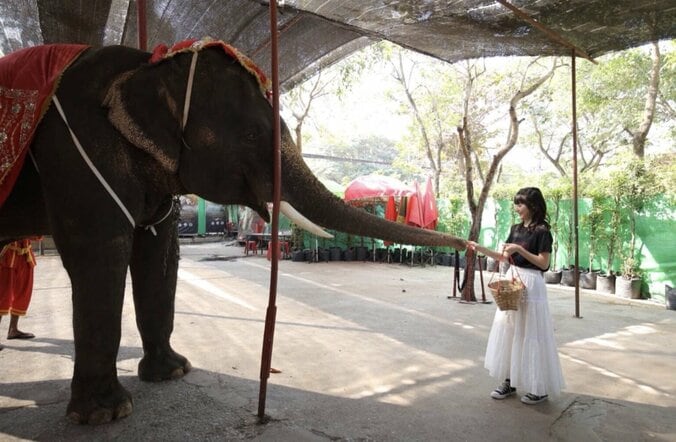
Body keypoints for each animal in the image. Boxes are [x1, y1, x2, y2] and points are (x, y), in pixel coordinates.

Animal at [0, 39, 464, 426]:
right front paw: (107, 415)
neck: (147, 65)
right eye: (252, 134)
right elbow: (100, 251)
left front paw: (173, 371)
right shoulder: (76, 149)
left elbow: (160, 254)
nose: (465, 244)